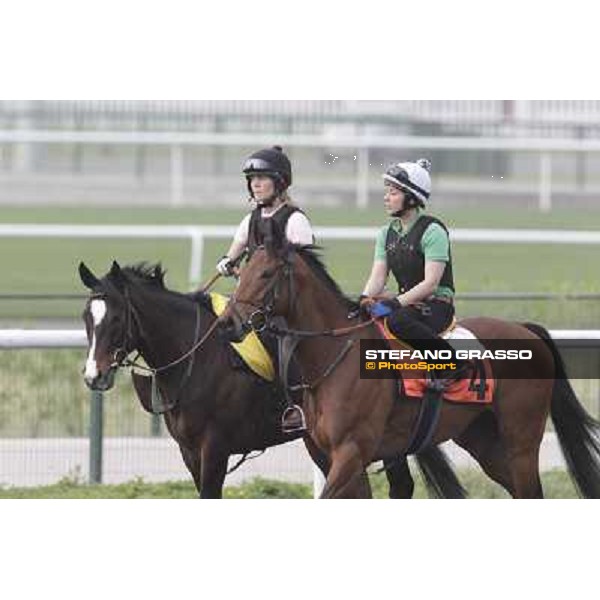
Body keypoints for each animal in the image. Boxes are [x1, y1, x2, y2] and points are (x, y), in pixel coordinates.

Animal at [78, 260, 464, 500]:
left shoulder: (214, 447)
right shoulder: (189, 452)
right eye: (86, 317)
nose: (94, 375)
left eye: (115, 319)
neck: (197, 356)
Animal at [220, 232, 600, 500]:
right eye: (242, 271)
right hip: (482, 439)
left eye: (266, 273)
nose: (227, 324)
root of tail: (526, 328)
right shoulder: (333, 456)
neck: (336, 355)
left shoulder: (351, 452)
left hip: (521, 439)